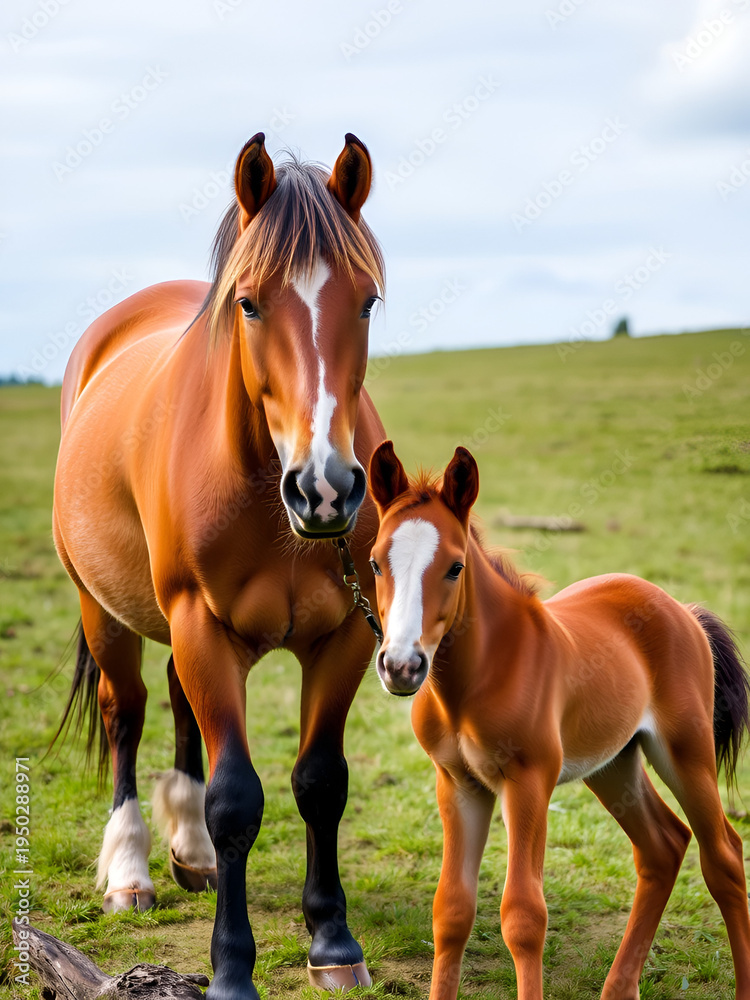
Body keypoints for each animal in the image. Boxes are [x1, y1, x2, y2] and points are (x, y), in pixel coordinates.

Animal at [52, 132, 388, 999]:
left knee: (176, 709)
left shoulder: (343, 635)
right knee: (128, 714)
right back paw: (131, 868)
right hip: (104, 611)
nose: (324, 488)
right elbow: (237, 800)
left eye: (367, 301)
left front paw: (332, 939)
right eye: (249, 303)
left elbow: (320, 781)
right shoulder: (201, 625)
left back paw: (191, 853)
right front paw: (232, 967)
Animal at [367, 440, 750, 1000]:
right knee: (663, 847)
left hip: (686, 751)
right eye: (375, 563)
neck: (479, 677)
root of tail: (681, 607)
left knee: (723, 855)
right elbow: (452, 910)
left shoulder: (529, 782)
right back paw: (618, 989)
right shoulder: (457, 783)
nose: (401, 665)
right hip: (614, 763)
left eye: (455, 567)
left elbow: (524, 917)